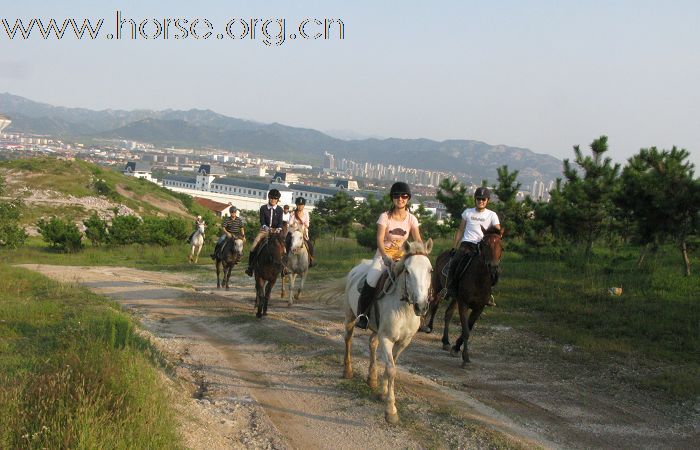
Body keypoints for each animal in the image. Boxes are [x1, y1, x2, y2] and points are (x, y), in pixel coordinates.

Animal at [340, 239, 430, 426]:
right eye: (408, 271)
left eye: (430, 270)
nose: (421, 306)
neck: (404, 308)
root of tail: (357, 268)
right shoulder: (387, 338)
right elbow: (391, 369)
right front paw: (391, 411)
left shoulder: (403, 341)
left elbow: (392, 364)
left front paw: (382, 392)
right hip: (350, 316)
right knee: (348, 339)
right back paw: (348, 371)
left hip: (375, 329)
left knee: (372, 344)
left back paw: (372, 378)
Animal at [426, 227, 504, 368]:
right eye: (485, 244)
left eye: (501, 246)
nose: (493, 268)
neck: (479, 280)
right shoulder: (464, 304)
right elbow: (466, 331)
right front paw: (466, 358)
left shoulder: (479, 307)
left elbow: (468, 328)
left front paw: (456, 348)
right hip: (438, 287)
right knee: (434, 304)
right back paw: (426, 327)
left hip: (455, 298)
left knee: (448, 313)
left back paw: (446, 341)